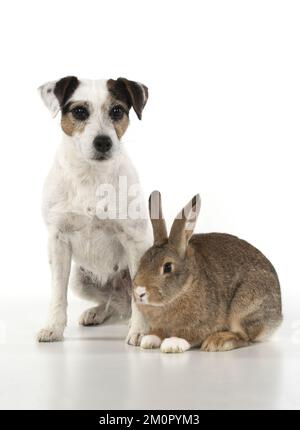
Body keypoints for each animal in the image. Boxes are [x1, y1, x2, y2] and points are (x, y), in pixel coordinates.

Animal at [37, 76, 152, 346]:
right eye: (80, 111)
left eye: (117, 111)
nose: (103, 142)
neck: (90, 175)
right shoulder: (57, 241)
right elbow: (57, 293)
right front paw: (53, 327)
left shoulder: (136, 240)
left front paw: (140, 330)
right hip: (79, 278)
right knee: (113, 304)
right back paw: (96, 312)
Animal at [132, 191, 282, 352]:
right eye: (141, 261)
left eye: (167, 267)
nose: (139, 292)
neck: (184, 288)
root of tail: (279, 318)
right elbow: (157, 332)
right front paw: (149, 340)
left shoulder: (200, 324)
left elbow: (187, 335)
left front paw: (172, 344)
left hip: (245, 307)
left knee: (244, 337)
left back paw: (217, 341)